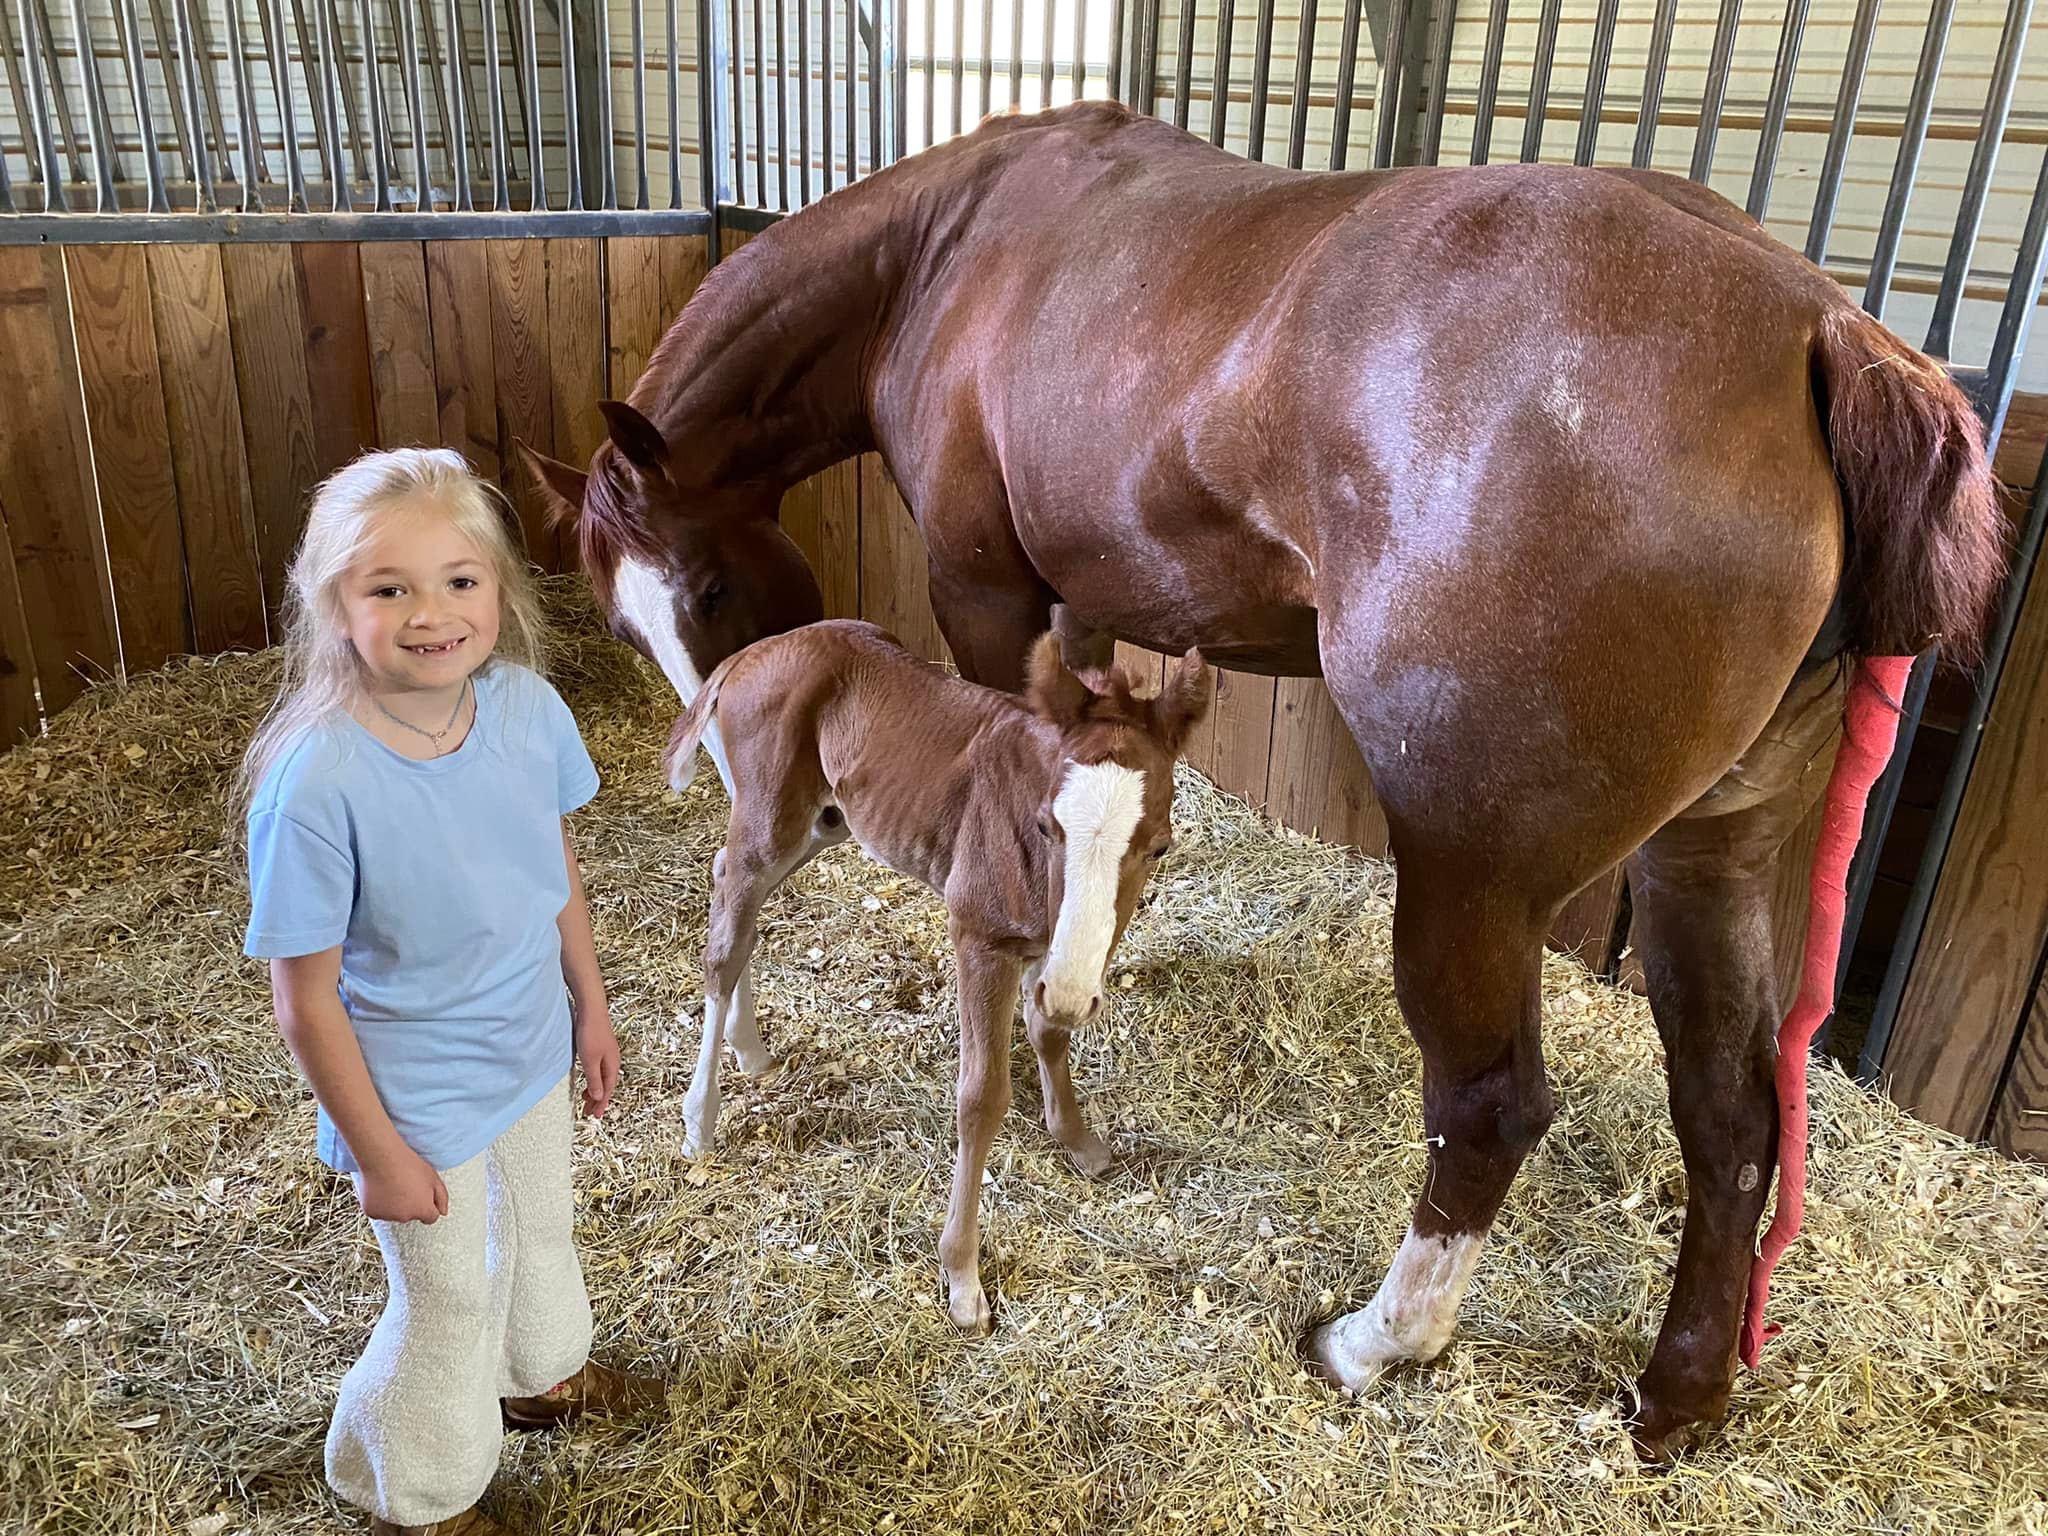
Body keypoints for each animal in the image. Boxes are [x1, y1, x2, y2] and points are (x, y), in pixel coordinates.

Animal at [663, 621, 1209, 1332]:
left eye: (1161, 845)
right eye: (1046, 825)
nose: (1069, 994)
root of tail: (753, 651)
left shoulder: (1056, 955)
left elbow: (1048, 1030)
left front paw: (1078, 1140)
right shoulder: (980, 939)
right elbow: (981, 1097)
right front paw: (962, 1278)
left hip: (827, 820)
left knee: (731, 889)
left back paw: (748, 1046)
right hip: (771, 816)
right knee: (727, 932)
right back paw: (700, 1118)